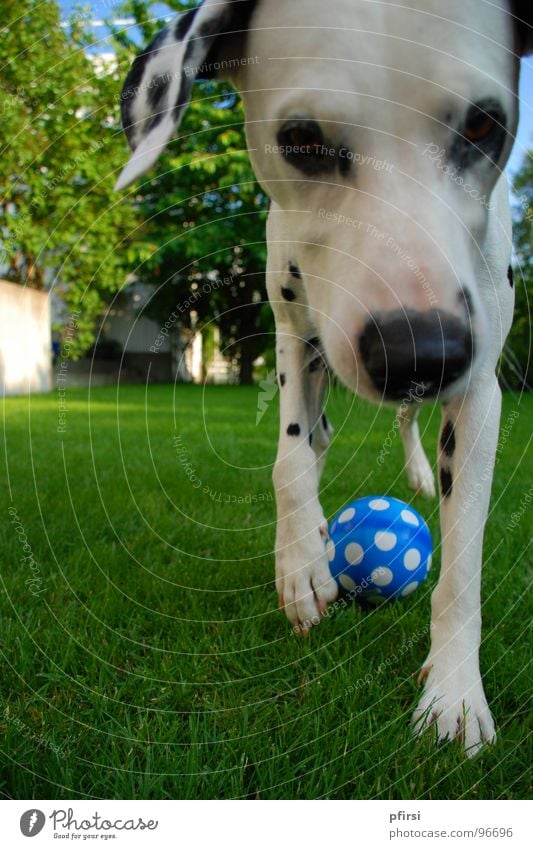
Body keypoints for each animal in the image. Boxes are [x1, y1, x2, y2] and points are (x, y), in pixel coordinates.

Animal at [115, 1, 528, 756]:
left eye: (485, 124)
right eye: (301, 139)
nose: (417, 350)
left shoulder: (478, 388)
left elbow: (463, 559)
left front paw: (455, 692)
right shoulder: (295, 335)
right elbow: (292, 456)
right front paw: (303, 558)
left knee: (408, 421)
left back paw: (419, 472)